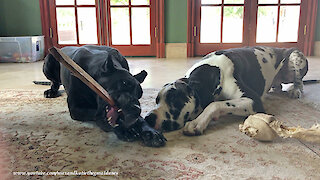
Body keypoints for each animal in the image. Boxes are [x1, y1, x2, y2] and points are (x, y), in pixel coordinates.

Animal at [145, 45, 310, 136]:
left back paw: (295, 90)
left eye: (174, 100)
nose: (148, 118)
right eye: (156, 100)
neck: (213, 72)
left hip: (296, 56)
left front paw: (198, 122)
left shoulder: (253, 101)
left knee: (299, 81)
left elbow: (214, 104)